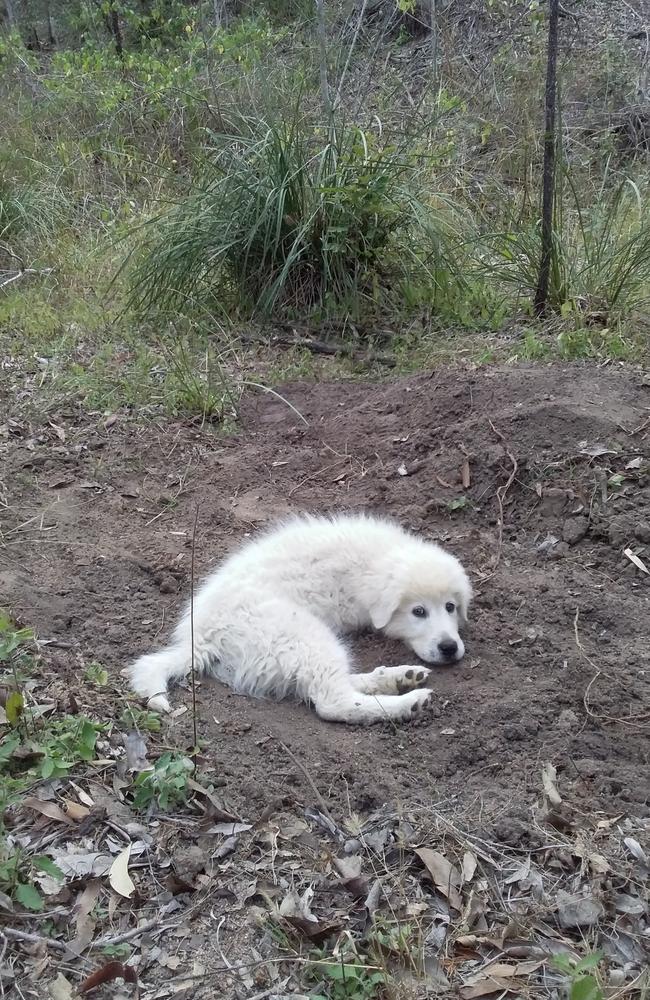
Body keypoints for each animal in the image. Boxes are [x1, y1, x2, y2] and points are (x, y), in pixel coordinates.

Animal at [128, 516, 470, 728]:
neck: (371, 564)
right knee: (333, 700)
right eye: (418, 611)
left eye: (451, 607)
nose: (449, 648)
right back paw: (410, 702)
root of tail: (200, 639)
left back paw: (399, 677)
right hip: (301, 633)